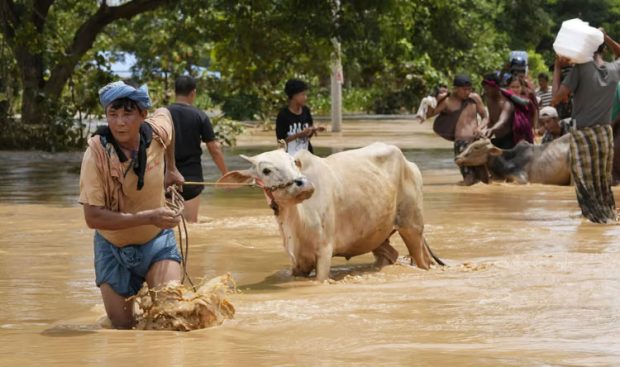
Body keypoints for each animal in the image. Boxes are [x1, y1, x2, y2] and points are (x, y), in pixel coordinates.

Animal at [218, 144, 440, 282]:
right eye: (266, 170)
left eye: (293, 162)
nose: (303, 184)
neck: (296, 221)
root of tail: (410, 164)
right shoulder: (297, 262)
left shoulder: (324, 252)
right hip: (377, 234)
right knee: (390, 254)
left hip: (412, 227)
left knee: (422, 260)